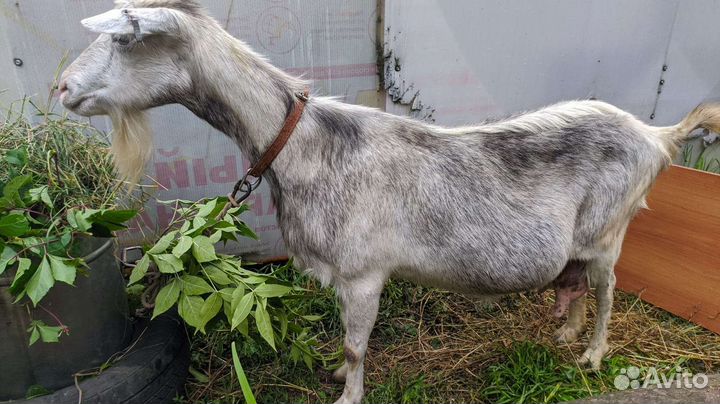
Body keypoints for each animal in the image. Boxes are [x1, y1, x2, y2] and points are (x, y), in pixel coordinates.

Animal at [59, 2, 720, 403]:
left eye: (124, 39)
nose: (62, 87)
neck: (304, 144)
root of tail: (656, 136)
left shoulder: (362, 275)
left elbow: (357, 343)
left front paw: (348, 392)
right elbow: (345, 343)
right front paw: (335, 372)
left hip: (609, 230)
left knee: (607, 290)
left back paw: (593, 354)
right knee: (576, 282)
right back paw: (565, 335)